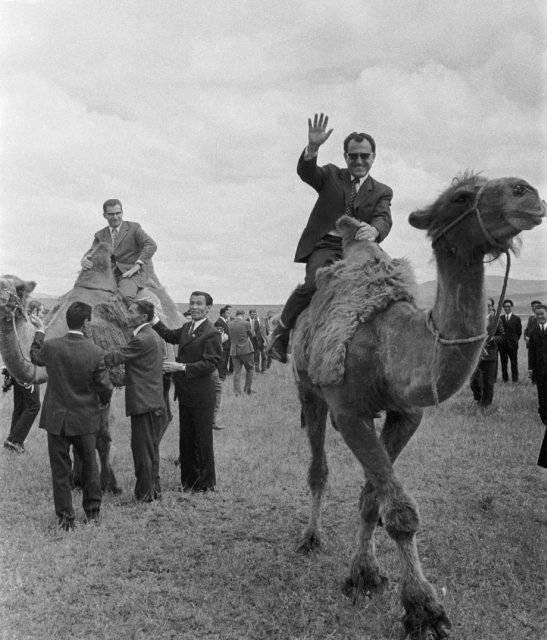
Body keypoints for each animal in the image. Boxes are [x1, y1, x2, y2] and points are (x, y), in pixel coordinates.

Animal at [0, 242, 182, 492]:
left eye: (18, 289)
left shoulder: (103, 379)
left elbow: (101, 435)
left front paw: (109, 485)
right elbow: (77, 431)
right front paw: (77, 481)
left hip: (164, 370)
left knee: (160, 415)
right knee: (164, 416)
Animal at [288, 175, 544, 640]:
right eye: (461, 197)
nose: (527, 191)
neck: (394, 347)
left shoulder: (406, 414)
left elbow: (373, 499)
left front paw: (365, 575)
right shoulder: (348, 412)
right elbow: (400, 513)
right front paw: (424, 609)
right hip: (308, 389)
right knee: (317, 469)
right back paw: (310, 538)